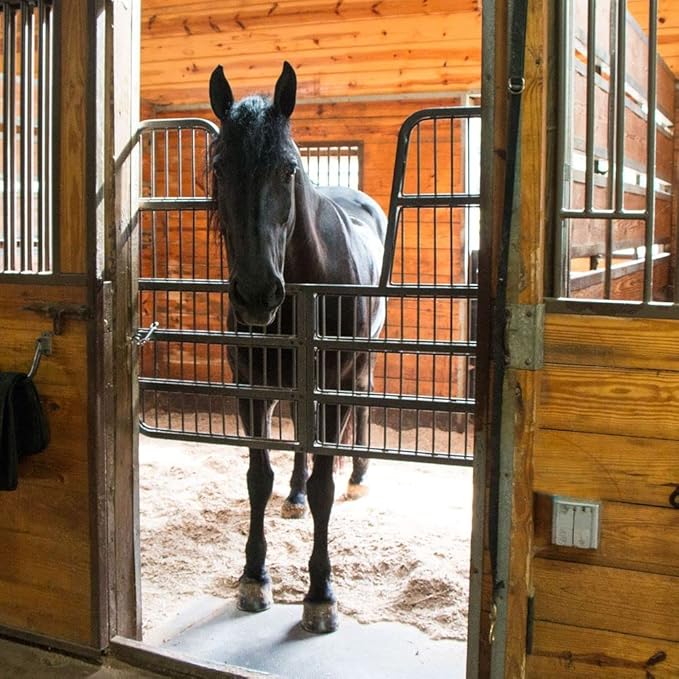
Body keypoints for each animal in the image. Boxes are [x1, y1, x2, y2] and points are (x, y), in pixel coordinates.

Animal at [209, 61, 386, 634]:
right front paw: (253, 578)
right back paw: (295, 494)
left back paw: (359, 475)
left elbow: (327, 484)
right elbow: (257, 477)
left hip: (360, 365)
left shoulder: (331, 385)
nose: (257, 293)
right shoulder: (252, 386)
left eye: (288, 170)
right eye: (220, 168)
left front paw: (321, 595)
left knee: (360, 409)